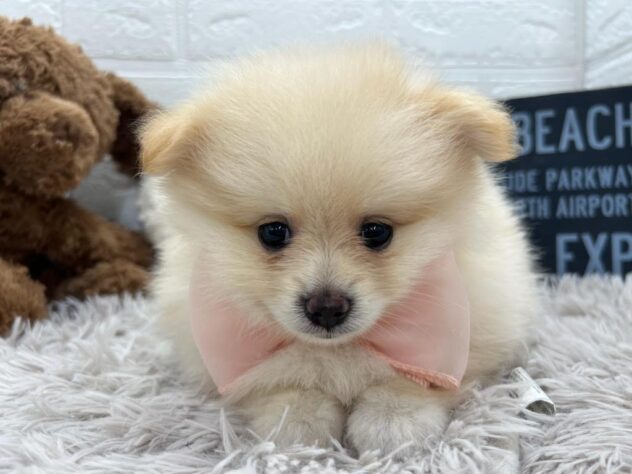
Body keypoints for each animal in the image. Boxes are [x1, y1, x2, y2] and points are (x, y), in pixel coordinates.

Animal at [139, 43, 538, 454]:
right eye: (273, 233)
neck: (338, 351)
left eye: (377, 232)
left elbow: (420, 380)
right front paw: (296, 417)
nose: (326, 307)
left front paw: (394, 418)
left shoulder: (464, 331)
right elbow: (273, 383)